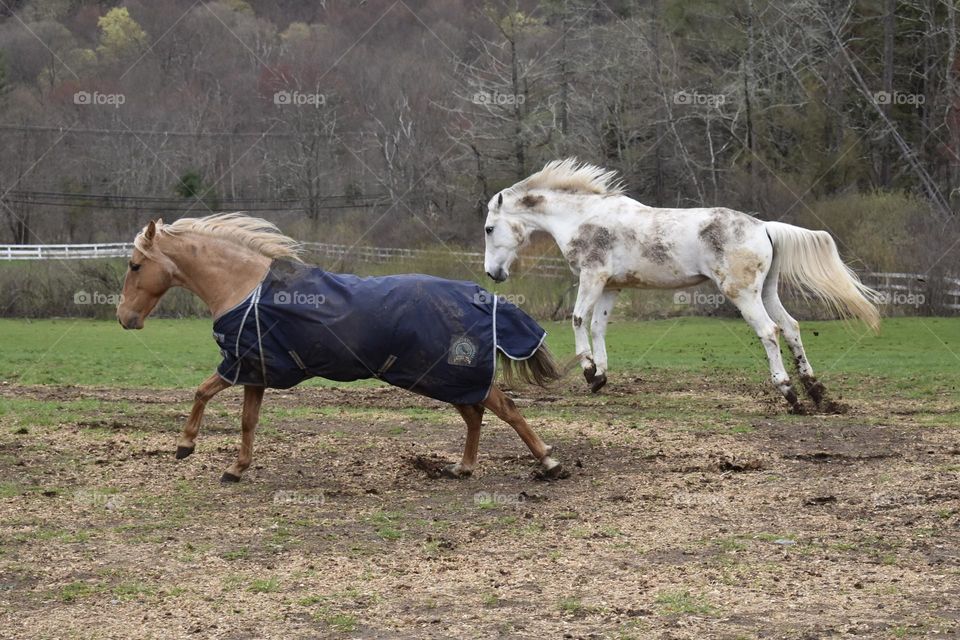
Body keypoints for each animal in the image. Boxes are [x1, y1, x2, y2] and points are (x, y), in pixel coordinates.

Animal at [119, 214, 568, 480]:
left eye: (135, 265)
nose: (125, 319)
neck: (244, 288)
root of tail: (482, 296)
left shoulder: (237, 364)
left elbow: (201, 393)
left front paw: (185, 446)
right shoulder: (256, 371)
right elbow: (248, 421)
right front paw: (236, 467)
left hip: (451, 375)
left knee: (504, 409)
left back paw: (549, 461)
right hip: (447, 379)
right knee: (476, 415)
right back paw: (464, 466)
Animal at [484, 158, 880, 412]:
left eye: (489, 228)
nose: (492, 273)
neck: (584, 218)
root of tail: (764, 226)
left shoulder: (592, 277)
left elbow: (578, 319)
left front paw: (588, 371)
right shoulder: (612, 285)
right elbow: (598, 327)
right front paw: (600, 377)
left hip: (742, 294)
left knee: (770, 331)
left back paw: (790, 395)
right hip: (767, 291)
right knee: (792, 328)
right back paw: (816, 392)